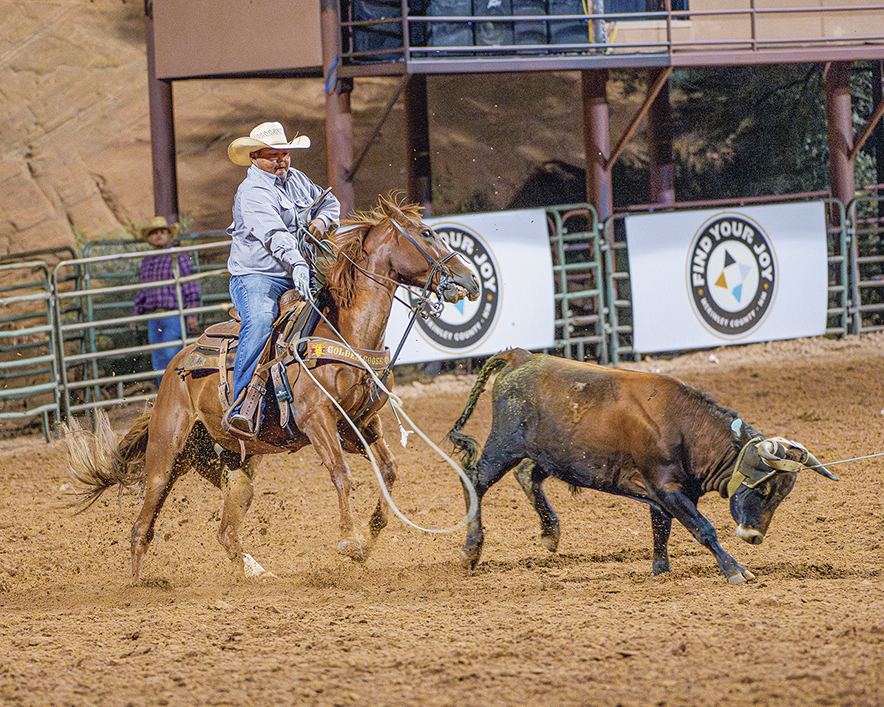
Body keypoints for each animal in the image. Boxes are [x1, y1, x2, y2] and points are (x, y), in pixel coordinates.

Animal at [65, 196, 480, 584]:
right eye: (426, 233)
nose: (470, 281)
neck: (345, 330)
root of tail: (174, 369)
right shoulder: (316, 419)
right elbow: (341, 473)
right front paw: (350, 539)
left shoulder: (359, 425)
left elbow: (389, 470)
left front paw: (369, 538)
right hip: (166, 455)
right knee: (142, 525)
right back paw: (139, 586)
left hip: (235, 467)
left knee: (226, 531)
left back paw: (256, 574)